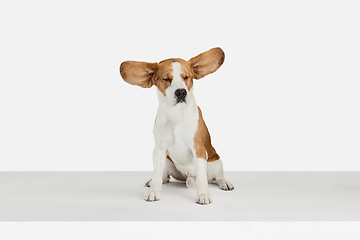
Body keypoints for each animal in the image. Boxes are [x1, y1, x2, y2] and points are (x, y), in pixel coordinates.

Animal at [119, 47, 235, 204]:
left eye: (186, 77)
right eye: (166, 79)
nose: (181, 92)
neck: (176, 114)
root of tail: (188, 177)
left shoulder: (198, 148)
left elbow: (202, 177)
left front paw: (203, 194)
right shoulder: (159, 149)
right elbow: (157, 173)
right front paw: (154, 191)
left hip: (216, 161)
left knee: (217, 177)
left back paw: (224, 183)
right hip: (168, 161)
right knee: (164, 175)